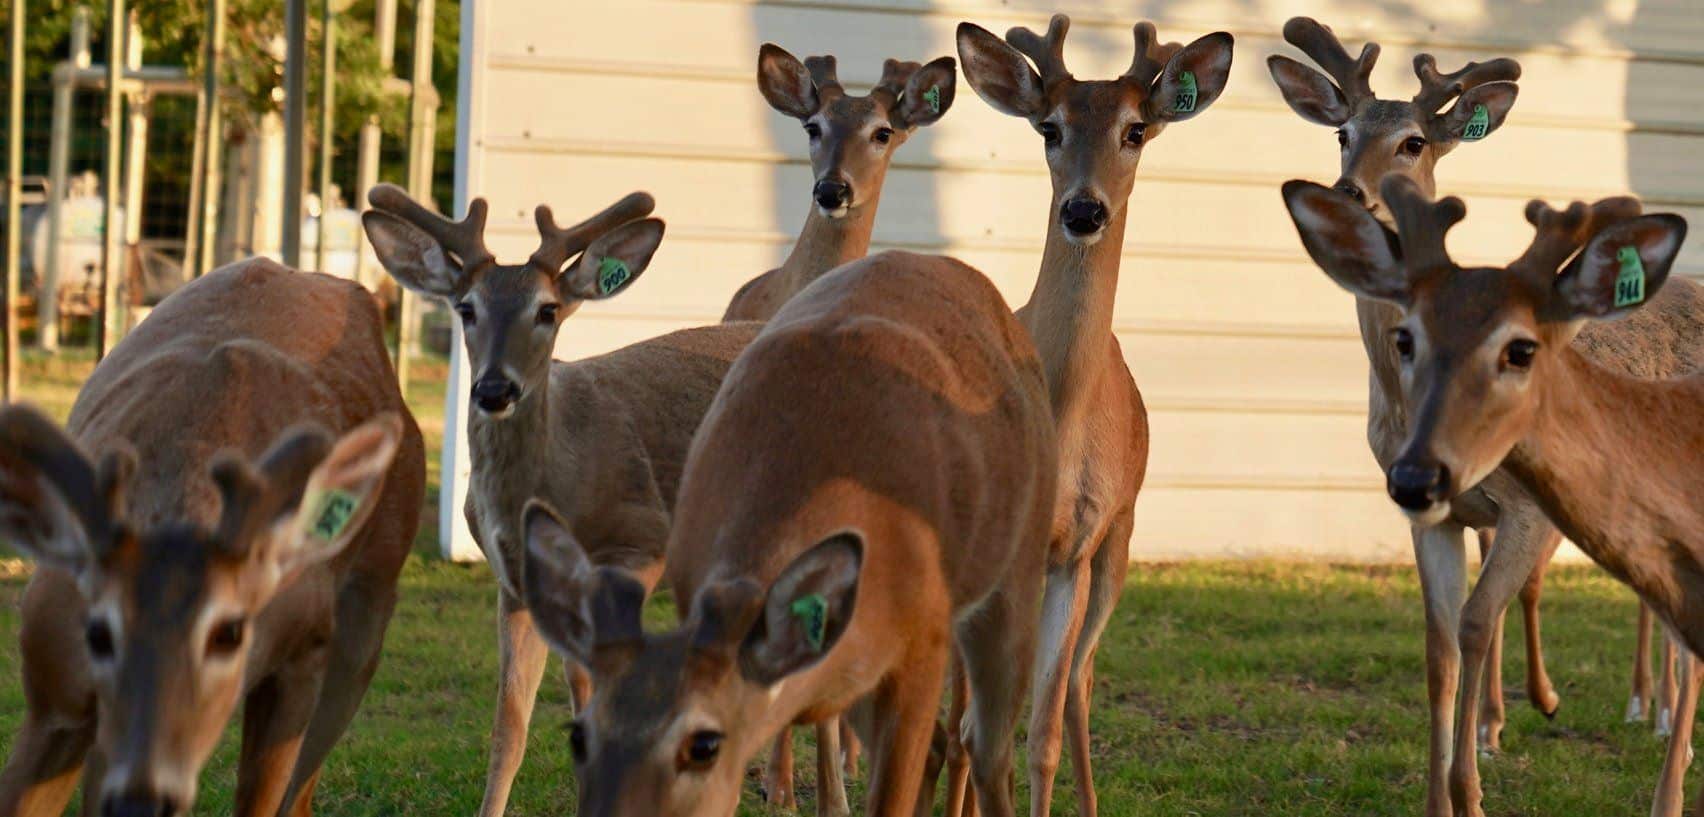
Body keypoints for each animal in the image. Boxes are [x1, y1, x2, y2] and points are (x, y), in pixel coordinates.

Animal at [0, 259, 424, 817]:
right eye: (98, 633)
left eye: (229, 632)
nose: (144, 799)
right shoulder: (53, 686)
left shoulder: (304, 647)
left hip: (370, 605)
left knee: (303, 791)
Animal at [359, 184, 761, 817]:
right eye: (466, 308)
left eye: (546, 310)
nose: (494, 389)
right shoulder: (513, 585)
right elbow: (511, 725)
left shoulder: (640, 545)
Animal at [521, 247, 1057, 817]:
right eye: (577, 735)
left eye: (703, 744)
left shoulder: (923, 646)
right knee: (941, 744)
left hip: (1017, 579)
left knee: (987, 752)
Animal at [957, 15, 1232, 817]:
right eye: (1049, 127)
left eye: (1134, 129)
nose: (1083, 210)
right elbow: (970, 731)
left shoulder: (1073, 547)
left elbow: (1037, 734)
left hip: (1122, 536)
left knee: (1079, 680)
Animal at [1268, 18, 1704, 816]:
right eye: (1342, 132)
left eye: (1413, 141)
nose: (1351, 192)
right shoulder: (1429, 512)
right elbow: (1439, 642)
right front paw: (1440, 793)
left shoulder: (1527, 510)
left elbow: (1477, 621)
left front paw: (1471, 786)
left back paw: (1668, 771)